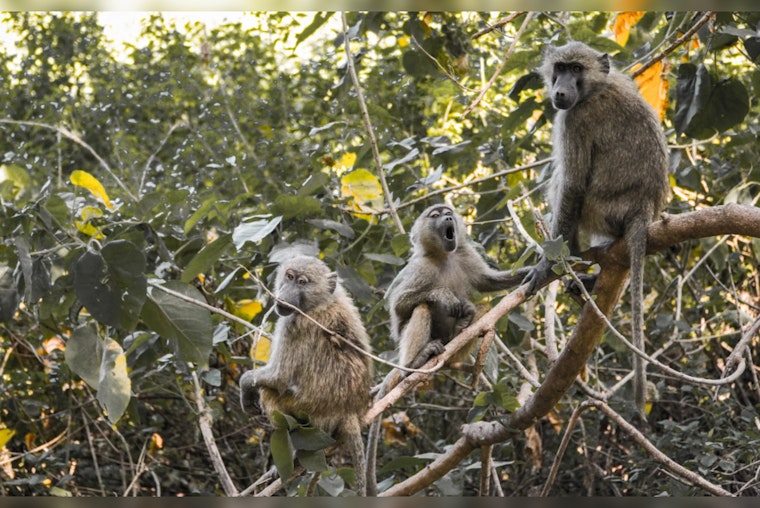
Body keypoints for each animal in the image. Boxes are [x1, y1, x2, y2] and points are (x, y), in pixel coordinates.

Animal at [239, 255, 372, 496]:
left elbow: (278, 377)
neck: (320, 303)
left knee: (270, 396)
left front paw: (246, 386)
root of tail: (349, 409)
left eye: (302, 282)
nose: (284, 295)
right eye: (290, 277)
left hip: (311, 413)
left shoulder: (292, 324)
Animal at [366, 203, 526, 494]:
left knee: (481, 308)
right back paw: (414, 365)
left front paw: (545, 268)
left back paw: (464, 328)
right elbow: (400, 306)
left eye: (447, 211)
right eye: (436, 215)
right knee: (421, 307)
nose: (449, 216)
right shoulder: (420, 268)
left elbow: (488, 282)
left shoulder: (465, 254)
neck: (444, 256)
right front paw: (442, 295)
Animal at [522, 41, 671, 418]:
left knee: (562, 186)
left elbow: (572, 186)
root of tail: (642, 208)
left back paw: (573, 264)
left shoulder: (574, 120)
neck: (596, 88)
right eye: (560, 68)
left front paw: (548, 266)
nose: (560, 91)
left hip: (601, 210)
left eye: (576, 69)